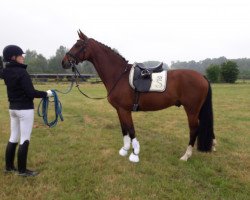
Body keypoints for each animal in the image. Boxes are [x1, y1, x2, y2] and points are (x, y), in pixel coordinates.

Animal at [61, 30, 216, 162]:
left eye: (78, 45)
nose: (64, 62)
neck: (119, 75)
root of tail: (202, 76)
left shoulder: (125, 110)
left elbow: (131, 130)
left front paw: (134, 154)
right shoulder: (119, 110)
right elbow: (124, 129)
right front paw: (124, 150)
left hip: (191, 110)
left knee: (194, 129)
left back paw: (186, 155)